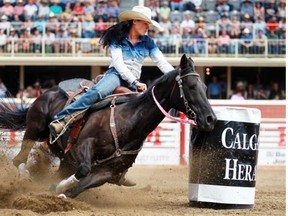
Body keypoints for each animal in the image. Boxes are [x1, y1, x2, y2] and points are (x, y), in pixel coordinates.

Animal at [0, 54, 216, 198]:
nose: (210, 119)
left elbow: (81, 185)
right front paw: (57, 187)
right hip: (34, 129)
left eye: (205, 87)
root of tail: (48, 92)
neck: (127, 121)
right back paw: (24, 176)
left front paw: (60, 190)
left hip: (64, 156)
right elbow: (83, 169)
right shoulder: (84, 145)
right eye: (191, 87)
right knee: (19, 159)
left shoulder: (107, 171)